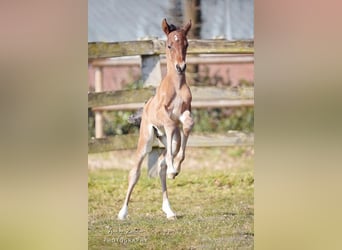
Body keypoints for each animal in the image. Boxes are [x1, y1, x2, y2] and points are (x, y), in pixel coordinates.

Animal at [117, 18, 194, 220]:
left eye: (186, 44)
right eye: (169, 45)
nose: (180, 67)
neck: (176, 86)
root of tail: (145, 106)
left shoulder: (185, 112)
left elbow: (188, 125)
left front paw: (176, 169)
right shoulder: (164, 116)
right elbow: (170, 122)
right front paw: (175, 168)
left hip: (168, 140)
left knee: (161, 165)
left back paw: (169, 210)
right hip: (146, 139)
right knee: (135, 172)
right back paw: (122, 213)